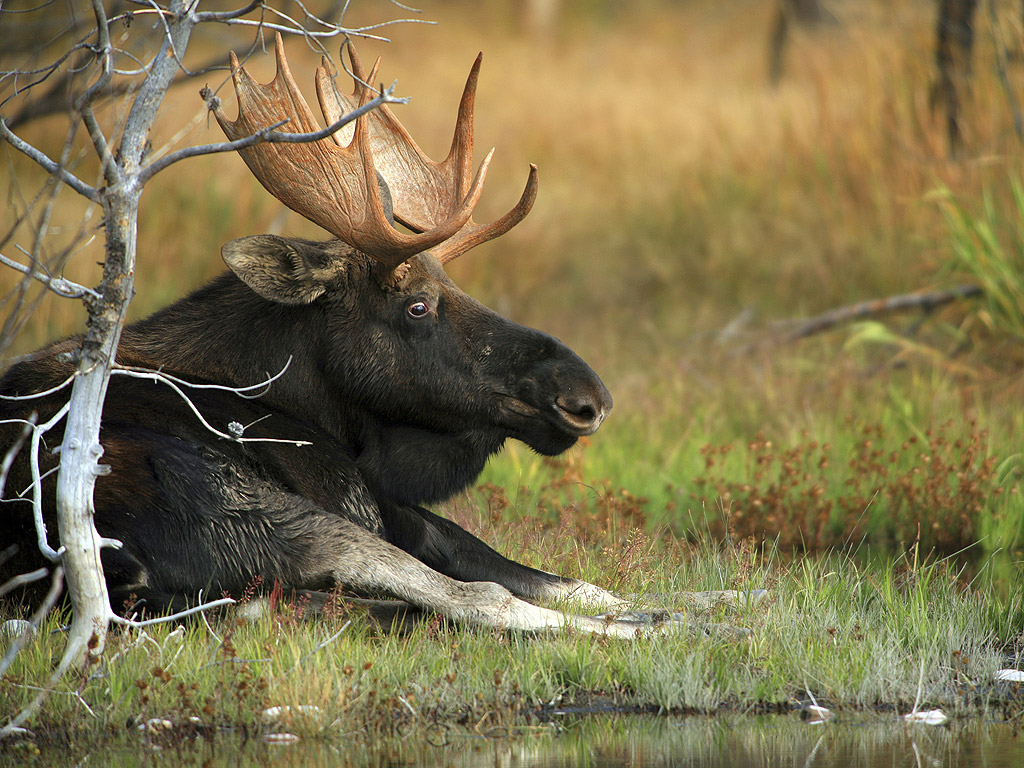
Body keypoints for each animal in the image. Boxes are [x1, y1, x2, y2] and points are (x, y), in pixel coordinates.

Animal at [2, 36, 720, 638]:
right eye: (418, 305)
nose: (584, 395)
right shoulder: (375, 505)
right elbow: (541, 585)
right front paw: (693, 614)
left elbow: (584, 582)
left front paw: (721, 595)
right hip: (270, 513)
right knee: (478, 601)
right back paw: (661, 633)